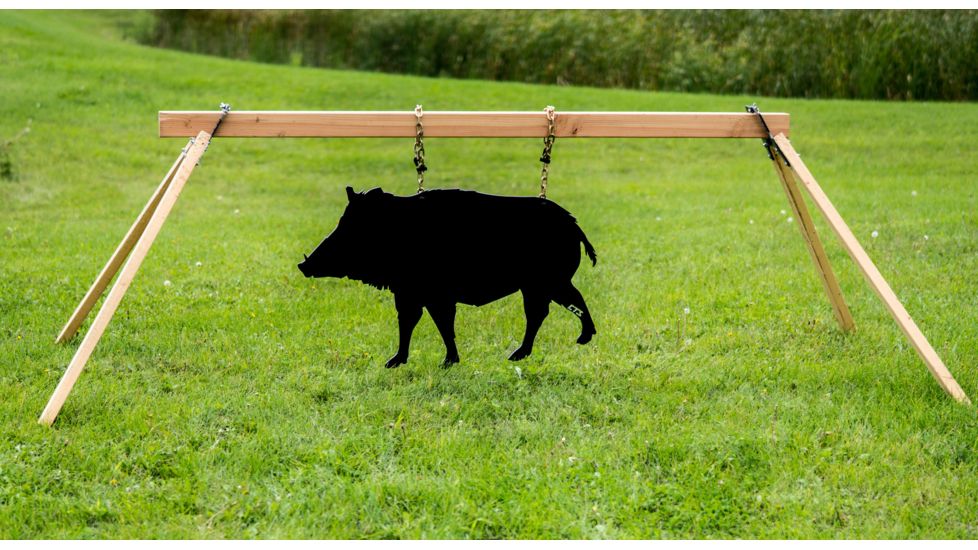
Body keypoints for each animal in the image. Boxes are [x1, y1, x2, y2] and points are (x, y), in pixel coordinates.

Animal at [298, 186, 597, 368]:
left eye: (351, 228)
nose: (304, 264)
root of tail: (575, 226)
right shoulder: (411, 293)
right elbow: (414, 322)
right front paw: (396, 362)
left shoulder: (432, 294)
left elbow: (437, 323)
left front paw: (444, 362)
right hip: (537, 286)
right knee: (544, 311)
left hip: (549, 282)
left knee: (561, 305)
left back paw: (575, 341)